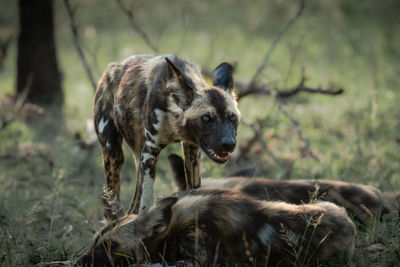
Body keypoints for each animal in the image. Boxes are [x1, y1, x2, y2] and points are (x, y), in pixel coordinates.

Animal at [94, 54, 239, 216]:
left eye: (232, 118)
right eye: (206, 118)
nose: (229, 143)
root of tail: (112, 67)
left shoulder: (192, 149)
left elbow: (194, 189)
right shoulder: (150, 151)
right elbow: (147, 200)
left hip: (138, 158)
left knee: (135, 200)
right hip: (114, 156)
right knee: (113, 200)